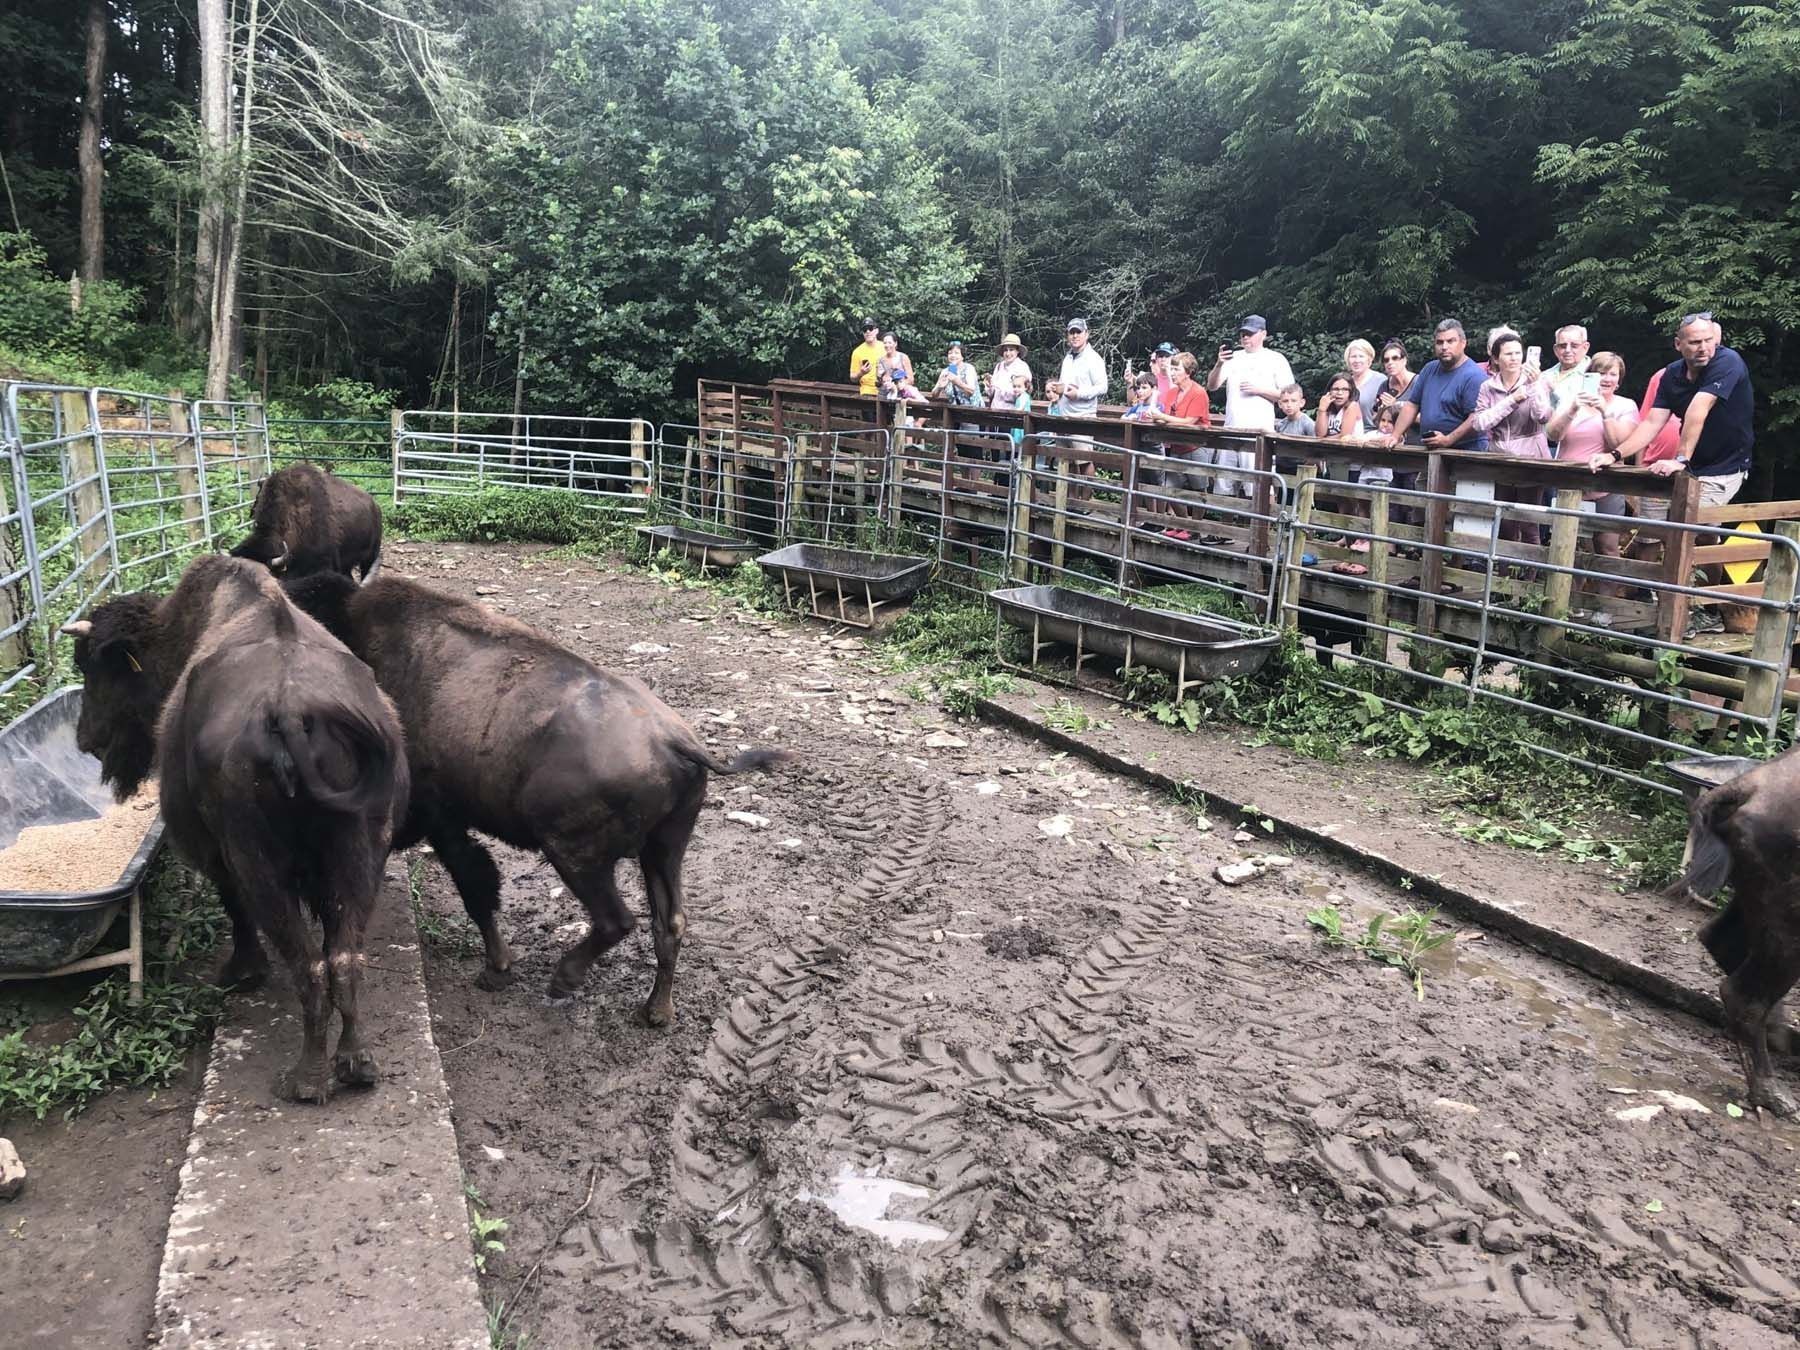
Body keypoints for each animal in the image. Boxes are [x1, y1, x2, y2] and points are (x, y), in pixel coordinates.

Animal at [63, 556, 409, 1103]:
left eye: (91, 666)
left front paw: (241, 971)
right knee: (343, 959)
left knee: (309, 964)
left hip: (260, 864)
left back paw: (305, 1079)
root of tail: (291, 712)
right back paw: (356, 1064)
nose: (85, 740)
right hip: (363, 851)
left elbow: (234, 908)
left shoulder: (213, 854)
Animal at [284, 571, 787, 1025]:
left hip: (574, 854)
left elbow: (476, 887)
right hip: (664, 849)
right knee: (670, 923)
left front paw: (496, 971)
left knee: (617, 919)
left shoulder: (444, 822)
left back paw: (564, 980)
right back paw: (656, 1012)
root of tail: (673, 739)